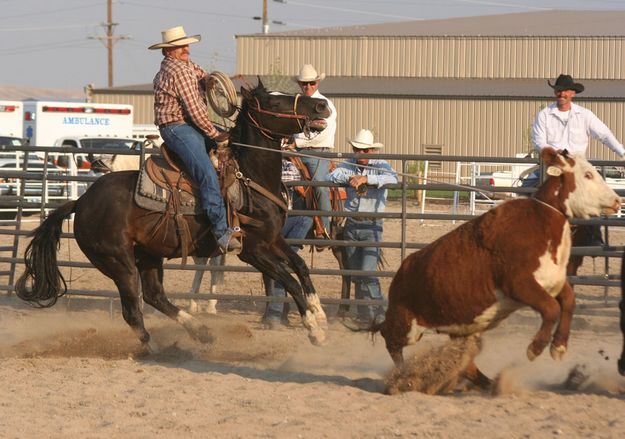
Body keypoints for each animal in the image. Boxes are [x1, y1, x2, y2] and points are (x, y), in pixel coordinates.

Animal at [13, 81, 332, 350]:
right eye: (276, 102)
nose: (322, 106)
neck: (249, 178)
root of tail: (81, 201)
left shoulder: (273, 238)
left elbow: (301, 267)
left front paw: (319, 312)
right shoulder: (251, 250)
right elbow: (289, 280)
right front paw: (314, 330)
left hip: (148, 255)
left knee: (155, 295)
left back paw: (200, 332)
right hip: (119, 262)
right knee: (133, 310)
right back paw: (155, 348)